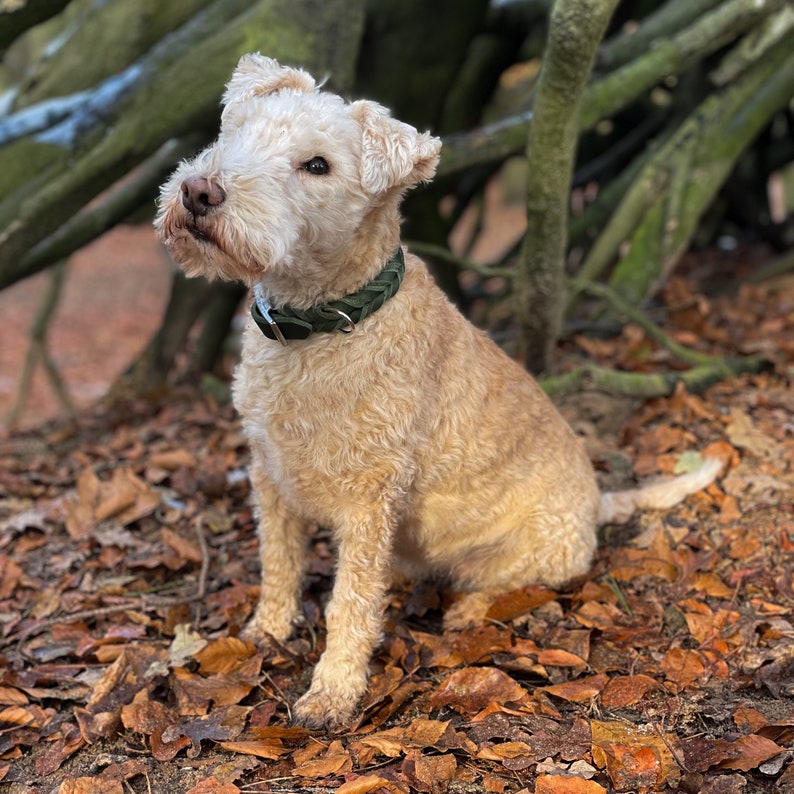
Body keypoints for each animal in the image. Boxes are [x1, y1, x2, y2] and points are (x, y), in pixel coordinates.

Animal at [153, 52, 716, 728]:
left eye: (317, 165)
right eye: (236, 130)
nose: (199, 192)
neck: (321, 325)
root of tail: (598, 503)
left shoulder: (369, 500)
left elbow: (350, 603)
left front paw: (332, 694)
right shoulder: (270, 475)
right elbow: (279, 565)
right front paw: (265, 632)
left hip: (535, 548)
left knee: (512, 584)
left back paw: (470, 611)